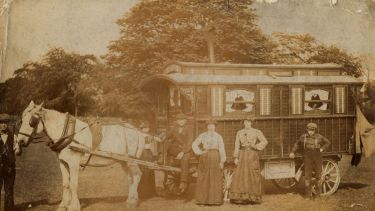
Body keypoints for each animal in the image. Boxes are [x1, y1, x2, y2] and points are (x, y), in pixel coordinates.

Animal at [16, 101, 145, 210]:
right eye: (21, 120)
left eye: (32, 121)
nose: (20, 141)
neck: (67, 132)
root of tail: (137, 131)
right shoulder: (63, 162)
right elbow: (66, 184)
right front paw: (63, 205)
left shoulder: (74, 163)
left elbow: (73, 184)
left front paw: (74, 206)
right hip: (124, 161)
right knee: (130, 178)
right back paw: (130, 199)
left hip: (131, 161)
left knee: (137, 175)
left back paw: (132, 202)